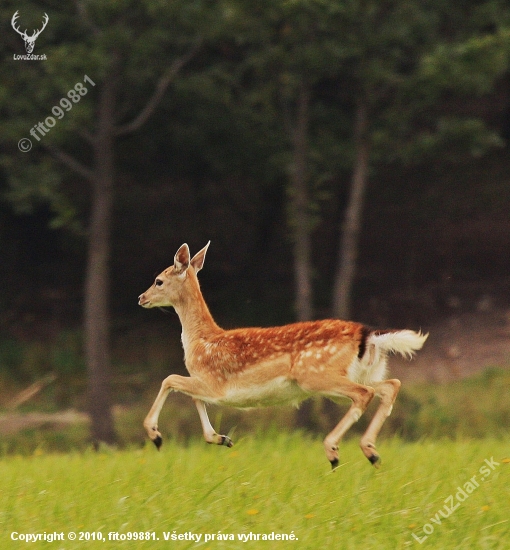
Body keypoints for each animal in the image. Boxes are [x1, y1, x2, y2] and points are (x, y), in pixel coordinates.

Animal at [138, 243, 426, 470]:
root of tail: (367, 335)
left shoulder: (214, 383)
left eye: (158, 280)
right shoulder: (206, 385)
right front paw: (221, 438)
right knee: (390, 385)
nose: (141, 297)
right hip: (361, 373)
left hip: (316, 375)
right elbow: (192, 397)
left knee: (365, 393)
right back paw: (371, 452)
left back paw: (333, 451)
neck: (201, 341)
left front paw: (155, 435)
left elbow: (170, 379)